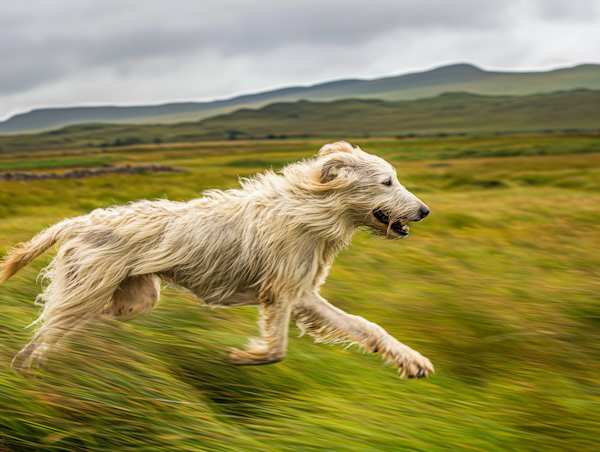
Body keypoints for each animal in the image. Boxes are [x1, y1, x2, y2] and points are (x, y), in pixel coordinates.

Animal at [0, 141, 432, 378]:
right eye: (387, 182)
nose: (426, 211)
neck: (311, 208)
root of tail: (76, 222)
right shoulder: (279, 294)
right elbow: (276, 351)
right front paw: (245, 356)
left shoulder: (301, 294)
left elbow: (366, 326)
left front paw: (412, 360)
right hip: (85, 294)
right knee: (39, 341)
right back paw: (31, 376)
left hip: (133, 298)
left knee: (81, 327)